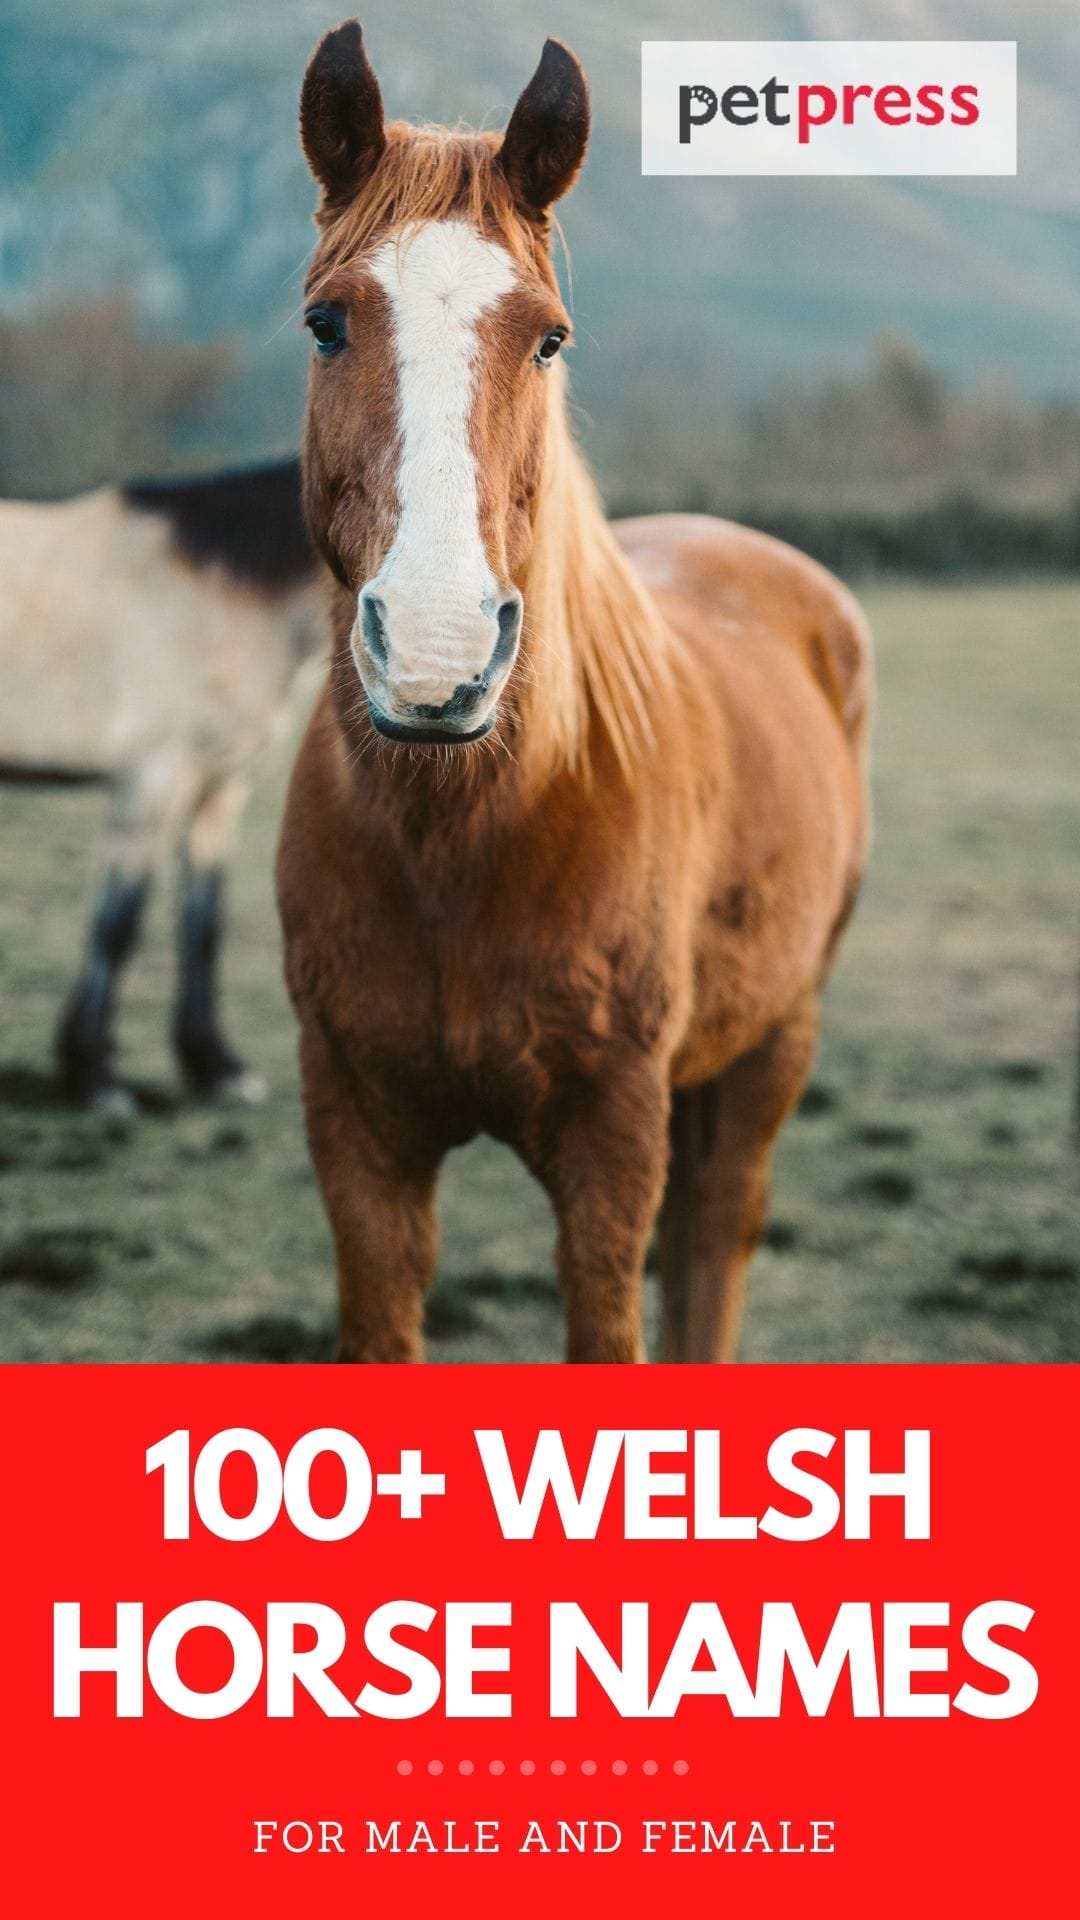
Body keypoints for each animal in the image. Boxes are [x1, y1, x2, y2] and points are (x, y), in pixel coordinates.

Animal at [0, 460, 326, 1113]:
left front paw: (216, 1068)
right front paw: (94, 1076)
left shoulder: (219, 788)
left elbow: (202, 925)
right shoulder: (153, 780)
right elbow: (117, 923)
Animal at [277, 24, 872, 1363]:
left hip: (777, 1043)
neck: (461, 837)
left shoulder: (614, 1137)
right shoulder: (354, 1131)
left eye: (548, 338)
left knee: (712, 1247)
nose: (436, 649)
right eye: (327, 324)